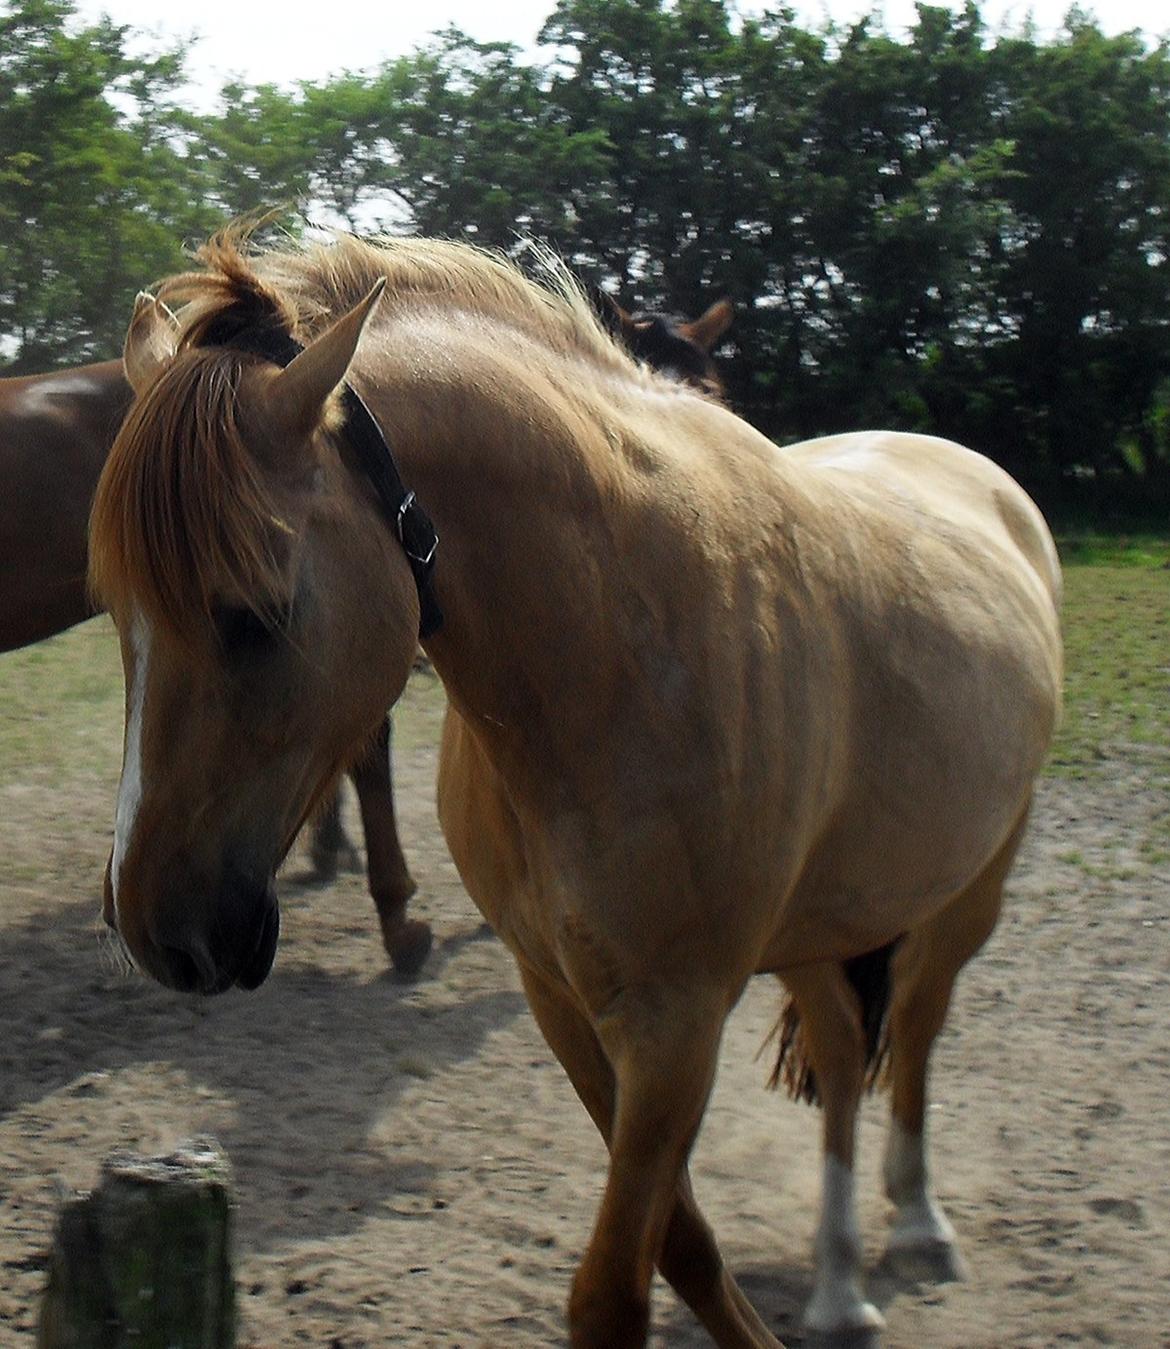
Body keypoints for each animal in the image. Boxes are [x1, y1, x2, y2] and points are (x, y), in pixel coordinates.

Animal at [89, 226, 1063, 1343]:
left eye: (254, 611)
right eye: (119, 610)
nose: (155, 929)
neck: (617, 649)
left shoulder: (675, 1022)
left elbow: (613, 1290)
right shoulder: (560, 998)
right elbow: (682, 1246)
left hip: (966, 892)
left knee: (918, 1025)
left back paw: (918, 1223)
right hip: (823, 924)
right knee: (843, 1036)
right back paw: (837, 1281)